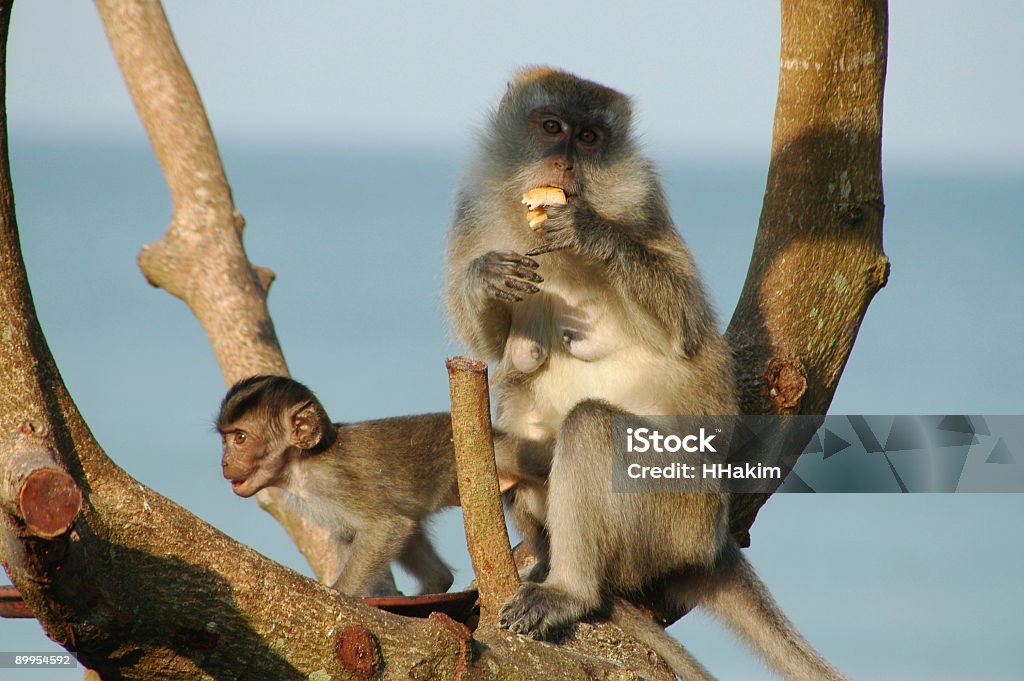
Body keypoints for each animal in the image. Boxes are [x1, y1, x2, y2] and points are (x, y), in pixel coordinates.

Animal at [220, 374, 516, 598]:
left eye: (240, 438)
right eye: (225, 439)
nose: (224, 462)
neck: (304, 461)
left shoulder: (333, 482)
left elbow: (387, 526)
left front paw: (341, 595)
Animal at [444, 67, 843, 679]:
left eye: (589, 139)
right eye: (552, 127)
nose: (563, 163)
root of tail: (713, 540)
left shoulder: (646, 207)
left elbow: (683, 326)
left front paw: (590, 231)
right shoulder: (473, 213)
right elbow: (492, 350)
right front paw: (486, 276)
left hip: (674, 515)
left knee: (590, 426)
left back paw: (571, 589)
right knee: (516, 411)